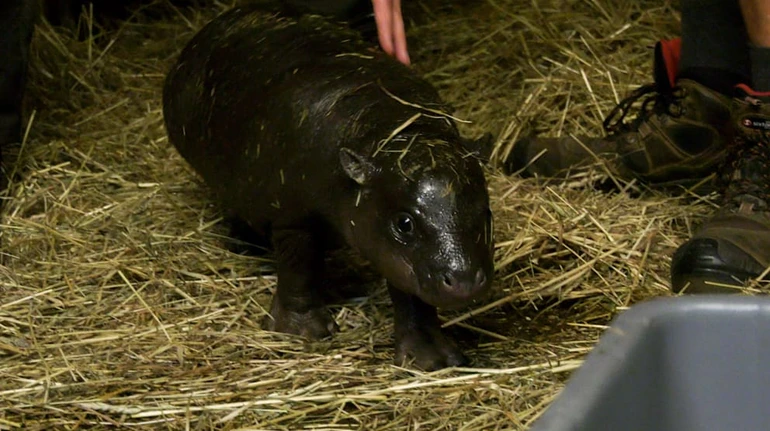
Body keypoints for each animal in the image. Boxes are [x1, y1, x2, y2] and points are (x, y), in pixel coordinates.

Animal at [164, 1, 496, 370]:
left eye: (486, 214)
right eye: (404, 223)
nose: (465, 279)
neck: (398, 132)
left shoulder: (392, 248)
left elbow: (411, 293)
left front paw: (433, 360)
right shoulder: (291, 217)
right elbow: (298, 267)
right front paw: (304, 332)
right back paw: (244, 244)